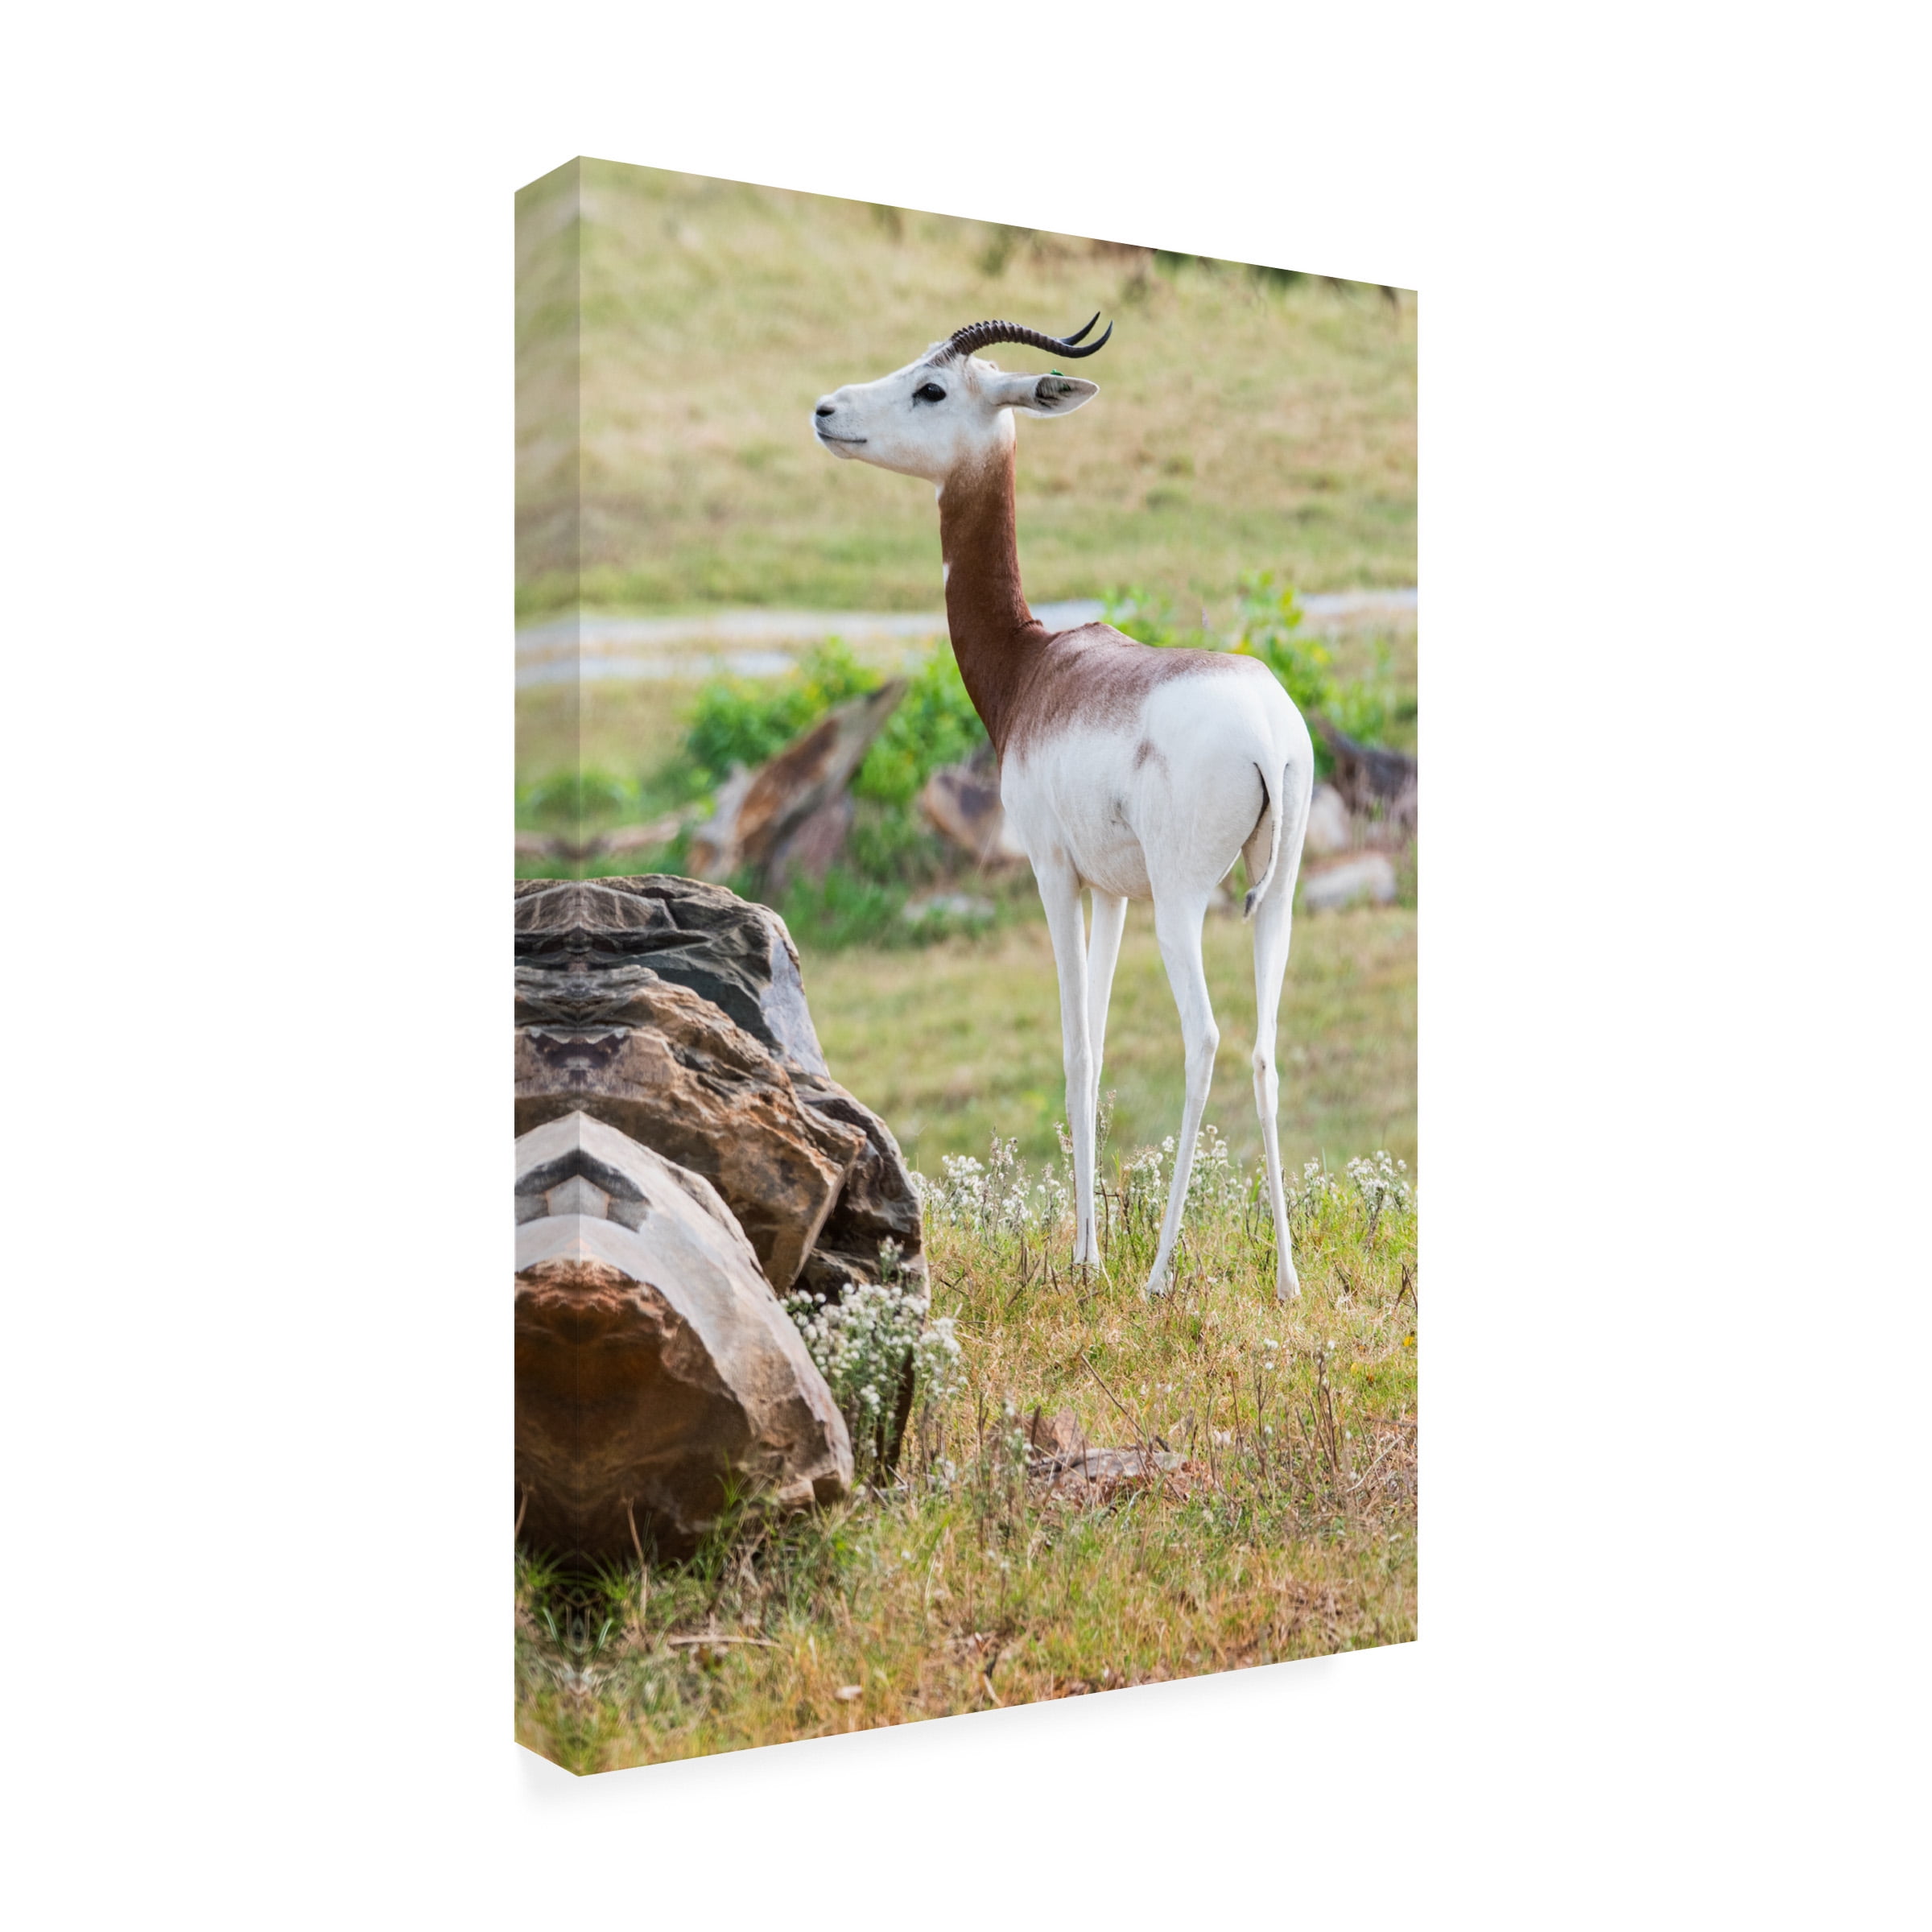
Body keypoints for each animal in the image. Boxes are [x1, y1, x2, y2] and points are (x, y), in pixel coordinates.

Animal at [813, 316, 1314, 1299]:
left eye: (933, 388)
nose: (825, 409)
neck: (1032, 667)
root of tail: (1270, 732)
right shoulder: (1113, 891)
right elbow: (1104, 1046)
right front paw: (1092, 1246)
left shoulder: (1054, 874)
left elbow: (1077, 1048)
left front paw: (1085, 1259)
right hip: (1273, 899)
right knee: (1267, 1052)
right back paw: (1285, 1279)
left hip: (1185, 907)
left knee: (1205, 1041)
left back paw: (1158, 1275)